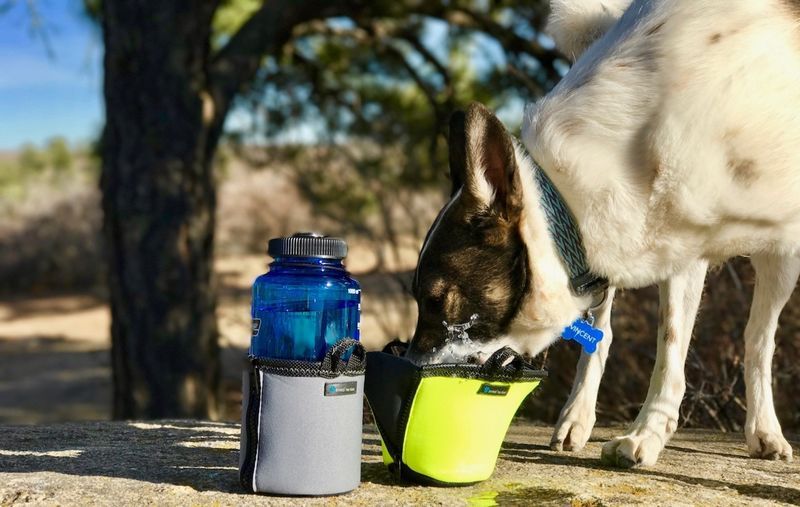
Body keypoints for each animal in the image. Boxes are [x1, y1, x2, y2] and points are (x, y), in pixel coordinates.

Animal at [410, 0, 796, 468]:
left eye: (435, 301)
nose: (408, 369)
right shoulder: (670, 242)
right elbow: (666, 346)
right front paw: (648, 433)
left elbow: (698, 346)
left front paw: (650, 434)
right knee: (605, 334)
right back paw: (577, 417)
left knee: (758, 339)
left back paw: (764, 429)